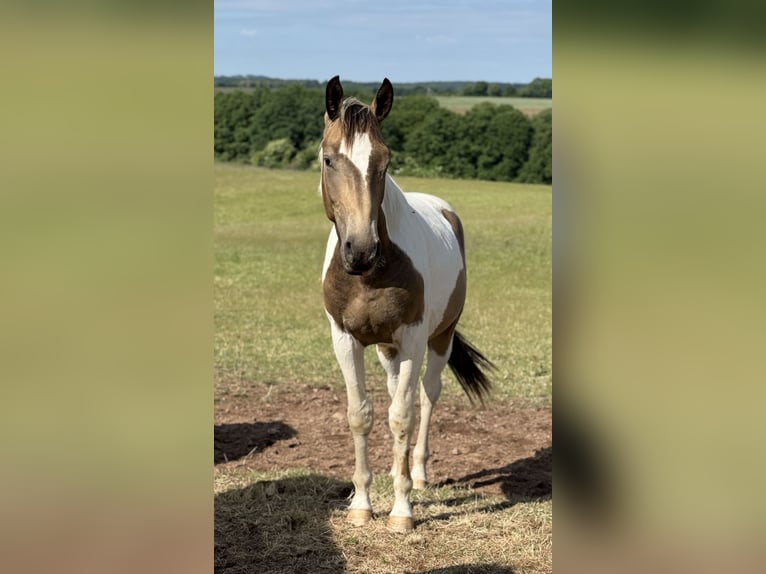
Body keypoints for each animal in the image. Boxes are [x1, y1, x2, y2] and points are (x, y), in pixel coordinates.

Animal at [319, 75, 494, 532]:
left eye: (384, 161)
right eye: (328, 159)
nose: (361, 251)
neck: (370, 276)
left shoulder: (414, 338)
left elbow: (402, 415)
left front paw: (402, 509)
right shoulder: (344, 339)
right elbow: (361, 413)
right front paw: (362, 504)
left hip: (439, 339)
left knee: (426, 398)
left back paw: (418, 474)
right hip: (388, 349)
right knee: (399, 389)